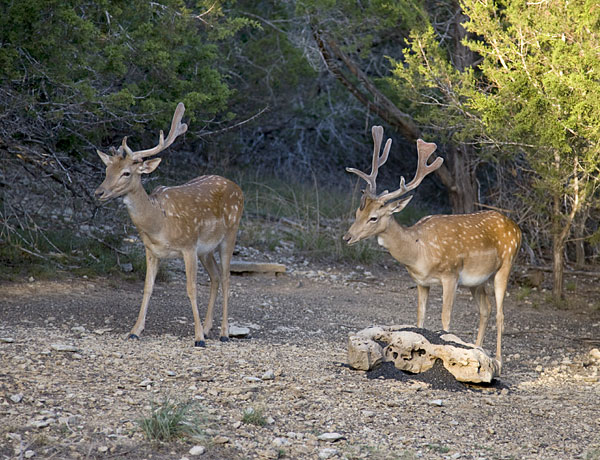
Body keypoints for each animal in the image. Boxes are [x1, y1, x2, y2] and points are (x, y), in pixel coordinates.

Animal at [94, 103, 244, 347]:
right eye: (107, 171)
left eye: (126, 173)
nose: (99, 192)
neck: (159, 224)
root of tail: (238, 188)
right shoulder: (151, 251)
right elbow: (147, 288)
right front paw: (134, 331)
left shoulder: (188, 246)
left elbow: (191, 289)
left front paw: (198, 338)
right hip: (206, 249)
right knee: (214, 277)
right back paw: (208, 327)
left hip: (230, 233)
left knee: (226, 278)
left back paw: (223, 333)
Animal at [343, 126, 521, 368]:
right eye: (357, 212)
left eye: (374, 217)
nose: (347, 237)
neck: (418, 252)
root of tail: (517, 228)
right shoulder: (421, 282)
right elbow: (420, 318)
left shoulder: (450, 275)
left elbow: (445, 319)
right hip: (477, 281)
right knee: (485, 310)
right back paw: (478, 350)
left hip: (506, 265)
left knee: (500, 314)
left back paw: (499, 361)